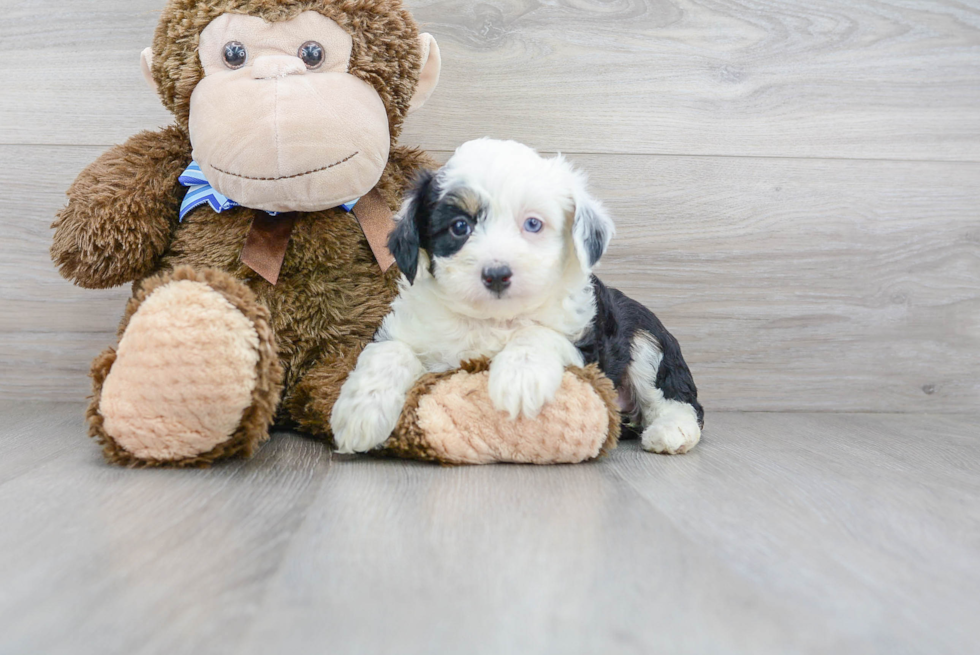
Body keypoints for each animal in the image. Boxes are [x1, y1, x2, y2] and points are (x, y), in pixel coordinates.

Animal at [332, 138, 704, 456]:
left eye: (533, 224)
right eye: (459, 227)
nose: (497, 274)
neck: (490, 319)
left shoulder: (586, 347)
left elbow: (536, 333)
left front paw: (520, 379)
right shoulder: (406, 328)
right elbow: (389, 352)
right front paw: (360, 412)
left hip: (647, 341)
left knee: (678, 400)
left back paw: (671, 432)